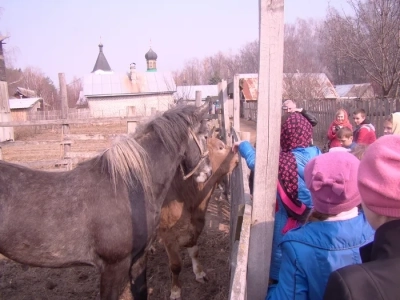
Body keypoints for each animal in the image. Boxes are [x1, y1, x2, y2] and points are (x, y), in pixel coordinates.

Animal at [157, 137, 238, 298]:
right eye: (220, 147)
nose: (238, 151)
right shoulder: (168, 235)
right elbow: (175, 265)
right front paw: (175, 290)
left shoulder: (196, 225)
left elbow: (195, 252)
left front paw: (199, 273)